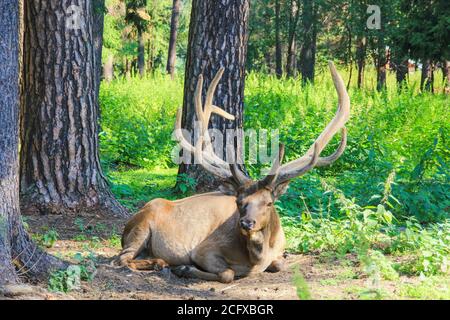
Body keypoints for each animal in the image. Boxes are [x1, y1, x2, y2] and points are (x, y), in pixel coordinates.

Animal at [114, 62, 350, 282]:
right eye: (239, 202)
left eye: (269, 203)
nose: (246, 223)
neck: (256, 258)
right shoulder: (202, 250)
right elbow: (227, 273)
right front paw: (185, 268)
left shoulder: (280, 251)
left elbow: (279, 263)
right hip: (141, 227)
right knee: (122, 259)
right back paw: (160, 263)